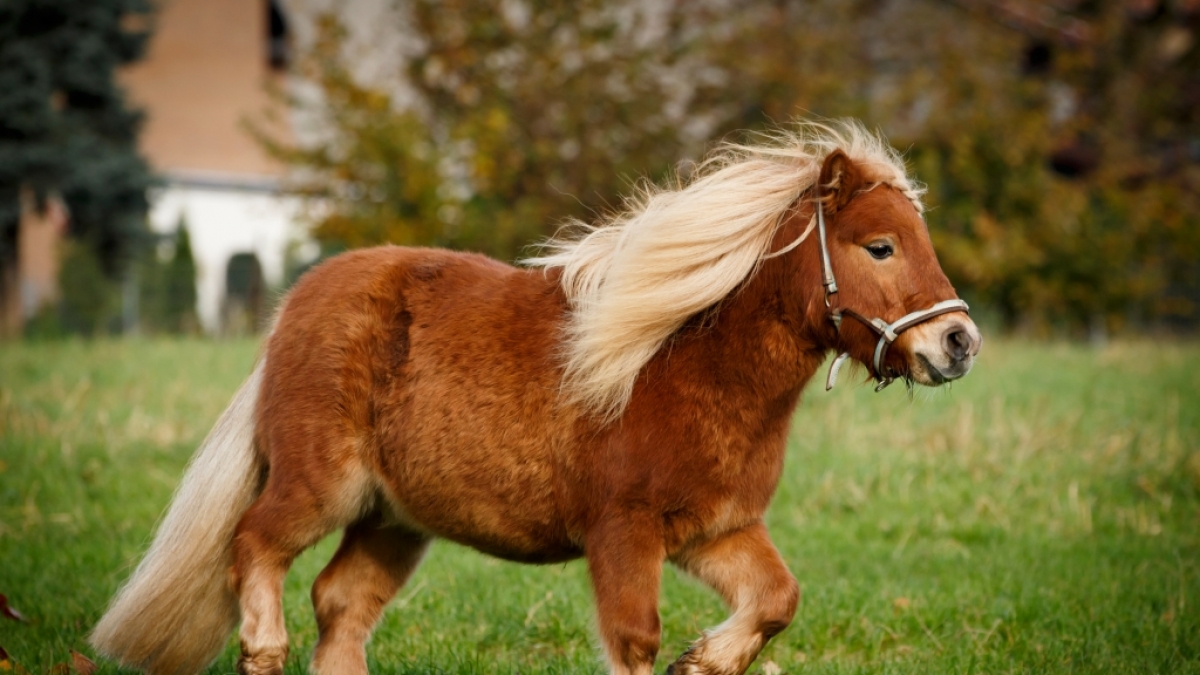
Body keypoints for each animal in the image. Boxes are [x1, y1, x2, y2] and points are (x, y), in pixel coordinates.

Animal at [90, 120, 981, 675]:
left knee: (339, 602)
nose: (958, 343)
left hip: (393, 520)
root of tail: (295, 306)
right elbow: (635, 639)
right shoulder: (623, 534)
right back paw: (261, 645)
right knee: (254, 545)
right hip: (321, 488)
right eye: (880, 246)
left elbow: (777, 599)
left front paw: (707, 656)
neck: (680, 361)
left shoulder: (718, 531)